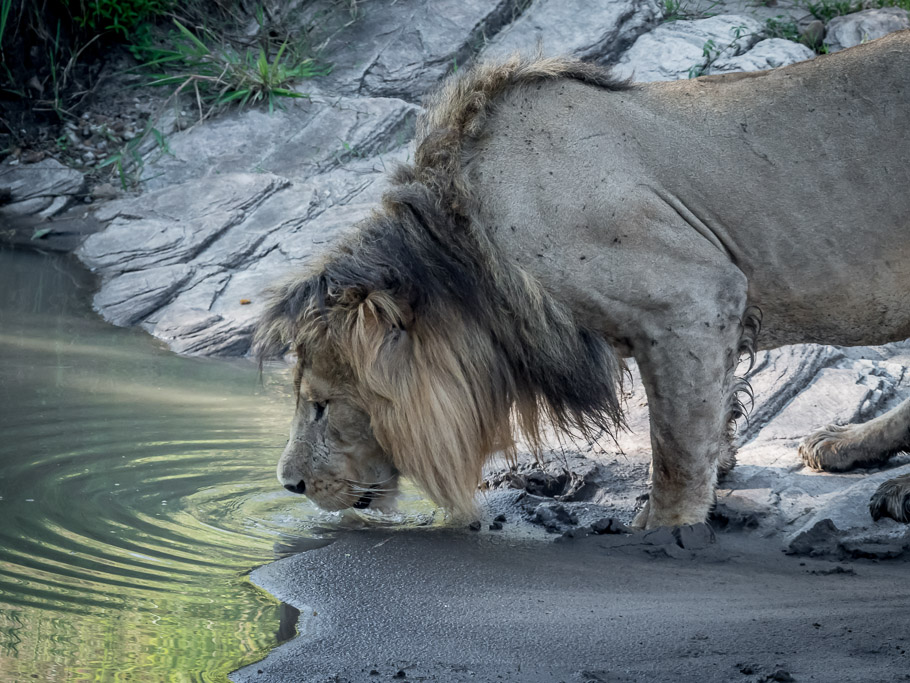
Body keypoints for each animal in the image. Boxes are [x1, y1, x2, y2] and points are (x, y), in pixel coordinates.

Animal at [255, 31, 910, 529]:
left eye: (321, 406)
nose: (288, 485)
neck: (466, 246)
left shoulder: (693, 296)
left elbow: (675, 442)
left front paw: (663, 527)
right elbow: (706, 412)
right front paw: (721, 465)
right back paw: (848, 446)